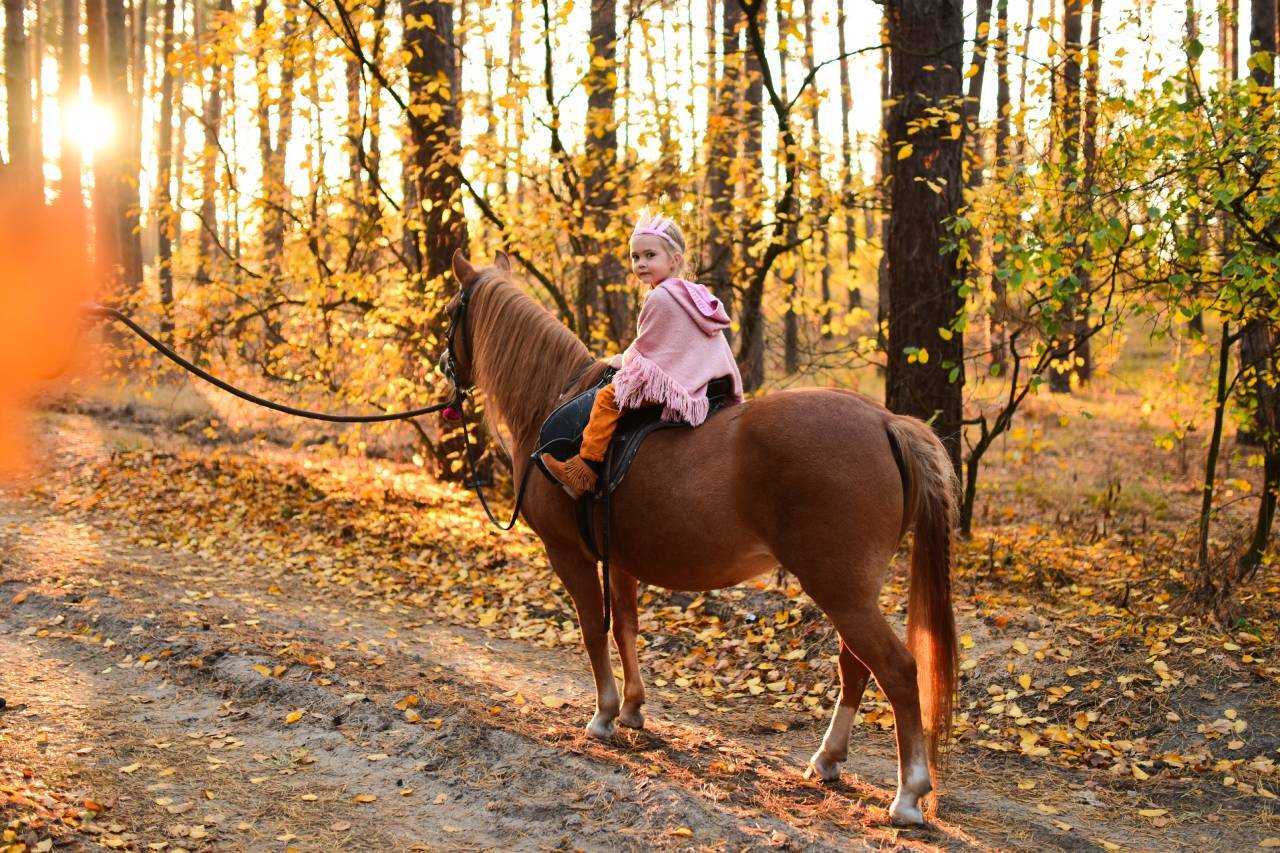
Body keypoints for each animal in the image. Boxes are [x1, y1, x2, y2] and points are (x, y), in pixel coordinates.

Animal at [445, 249, 957, 819]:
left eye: (449, 312)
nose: (445, 368)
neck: (548, 404)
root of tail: (885, 421)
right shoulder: (619, 559)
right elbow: (626, 628)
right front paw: (632, 709)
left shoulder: (569, 555)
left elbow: (593, 630)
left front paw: (603, 715)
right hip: (852, 591)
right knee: (857, 667)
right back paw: (828, 759)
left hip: (840, 589)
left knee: (897, 670)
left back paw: (908, 794)